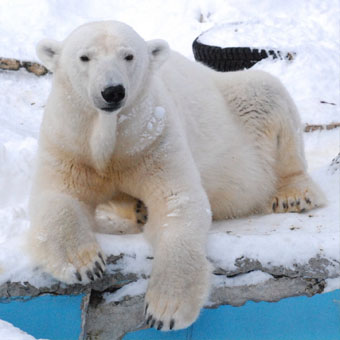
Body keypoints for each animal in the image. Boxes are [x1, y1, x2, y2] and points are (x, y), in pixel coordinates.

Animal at [27, 20, 326, 330]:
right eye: (84, 57)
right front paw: (84, 265)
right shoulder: (70, 142)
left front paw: (165, 310)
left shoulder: (153, 139)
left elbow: (178, 202)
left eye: (128, 56)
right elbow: (58, 197)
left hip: (242, 104)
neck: (111, 137)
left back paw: (293, 195)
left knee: (269, 94)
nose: (112, 91)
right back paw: (137, 209)